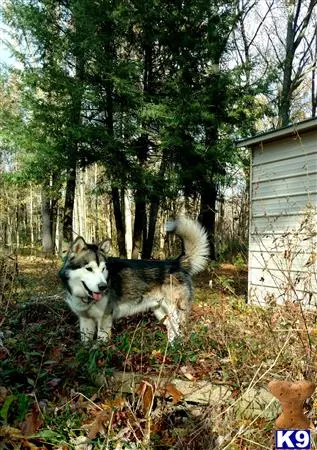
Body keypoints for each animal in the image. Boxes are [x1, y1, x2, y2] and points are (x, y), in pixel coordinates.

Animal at [59, 217, 209, 342]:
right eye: (89, 269)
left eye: (103, 269)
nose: (103, 287)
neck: (85, 297)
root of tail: (176, 263)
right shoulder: (85, 321)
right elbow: (85, 346)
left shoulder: (104, 320)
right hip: (160, 312)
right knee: (172, 330)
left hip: (174, 311)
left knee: (179, 330)